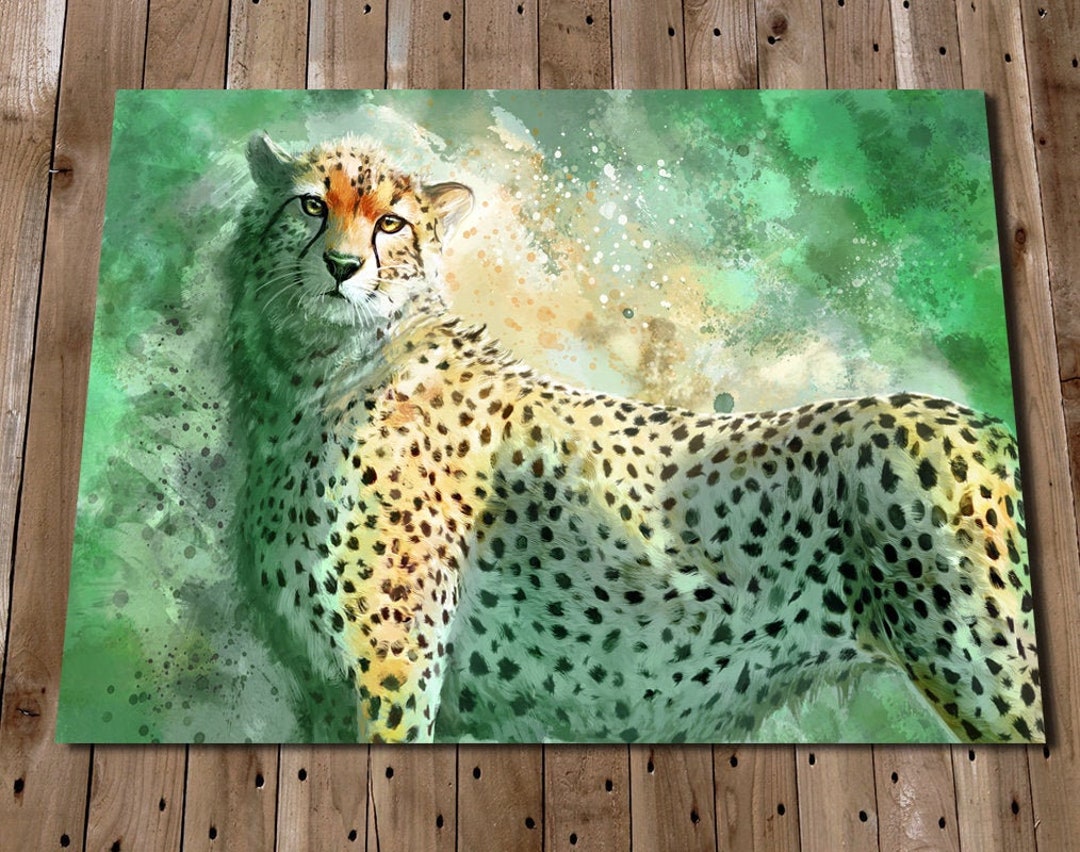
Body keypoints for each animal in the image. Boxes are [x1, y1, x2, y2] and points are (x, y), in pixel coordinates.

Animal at [226, 132, 1043, 744]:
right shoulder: (324, 693)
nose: (341, 266)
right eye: (310, 205)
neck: (319, 370)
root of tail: (983, 423)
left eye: (390, 223)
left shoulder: (391, 682)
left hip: (989, 680)